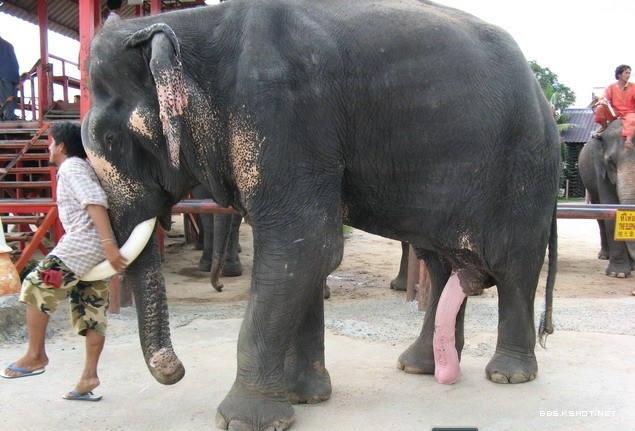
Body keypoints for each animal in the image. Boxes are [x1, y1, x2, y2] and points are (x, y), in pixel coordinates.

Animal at [81, 1, 559, 430]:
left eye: (112, 139)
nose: (177, 372)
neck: (196, 26)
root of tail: (543, 97)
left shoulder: (283, 119)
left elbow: (306, 248)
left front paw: (243, 421)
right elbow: (300, 259)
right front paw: (304, 398)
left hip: (525, 169)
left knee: (514, 266)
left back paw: (508, 375)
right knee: (443, 266)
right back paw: (421, 366)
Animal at [579, 119, 635, 277]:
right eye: (611, 162)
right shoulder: (601, 168)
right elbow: (611, 206)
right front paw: (618, 274)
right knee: (600, 215)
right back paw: (605, 256)